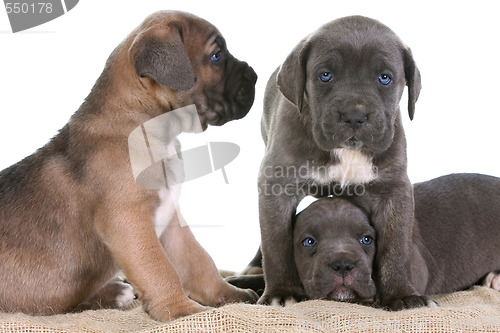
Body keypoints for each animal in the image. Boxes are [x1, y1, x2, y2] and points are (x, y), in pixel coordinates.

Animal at [258, 13, 426, 308]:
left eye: (385, 78)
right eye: (325, 75)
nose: (354, 116)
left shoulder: (393, 189)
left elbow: (396, 244)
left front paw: (401, 294)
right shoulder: (276, 186)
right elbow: (276, 244)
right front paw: (282, 292)